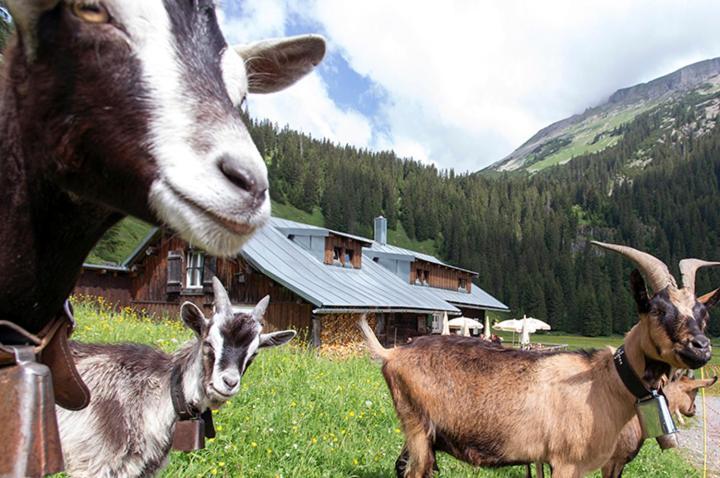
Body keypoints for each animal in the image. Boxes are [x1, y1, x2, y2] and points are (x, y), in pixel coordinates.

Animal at [360, 243, 720, 478]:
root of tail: (393, 352)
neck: (605, 383)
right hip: (417, 426)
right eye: (657, 310)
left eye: (703, 315)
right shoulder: (565, 461)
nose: (701, 348)